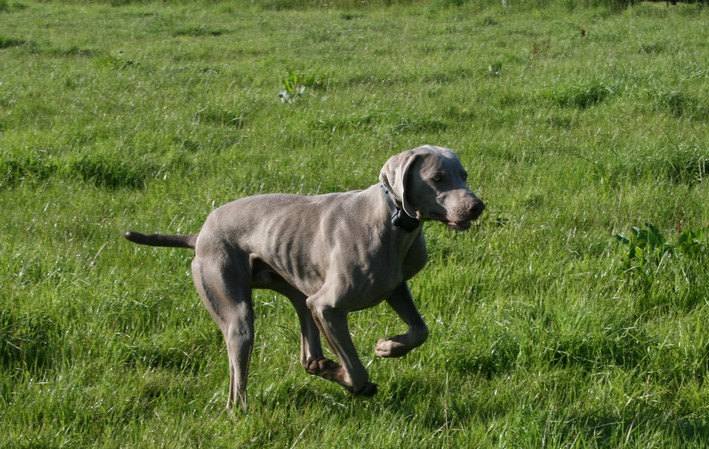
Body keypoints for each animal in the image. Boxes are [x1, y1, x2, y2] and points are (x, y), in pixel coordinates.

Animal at [124, 144, 484, 410]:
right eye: (437, 178)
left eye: (463, 175)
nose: (477, 206)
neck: (392, 220)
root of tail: (198, 235)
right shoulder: (328, 306)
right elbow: (356, 371)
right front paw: (356, 378)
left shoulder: (395, 287)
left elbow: (420, 330)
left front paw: (388, 347)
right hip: (236, 310)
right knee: (237, 379)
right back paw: (242, 411)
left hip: (296, 291)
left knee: (307, 354)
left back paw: (321, 366)